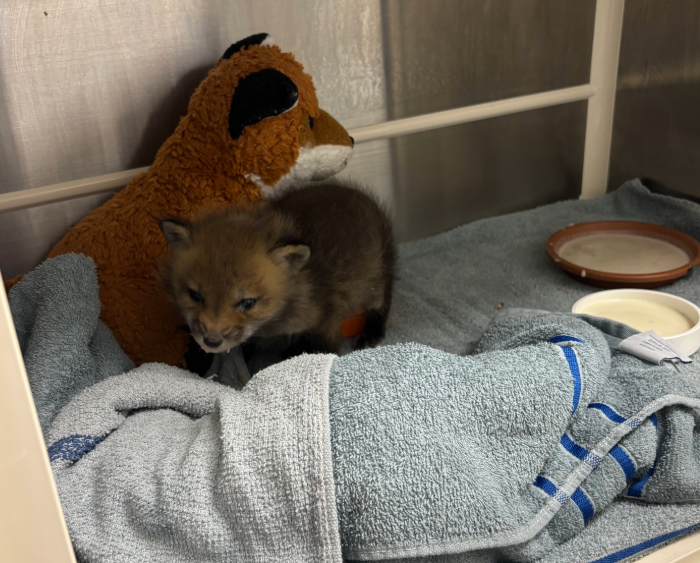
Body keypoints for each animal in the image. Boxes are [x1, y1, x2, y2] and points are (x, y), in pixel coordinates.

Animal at [159, 181, 395, 361]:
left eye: (248, 302)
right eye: (195, 295)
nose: (212, 341)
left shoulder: (325, 319)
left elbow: (319, 351)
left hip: (373, 283)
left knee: (384, 298)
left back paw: (372, 333)